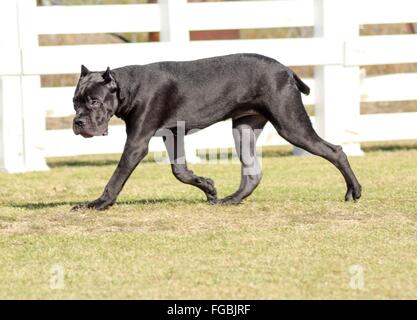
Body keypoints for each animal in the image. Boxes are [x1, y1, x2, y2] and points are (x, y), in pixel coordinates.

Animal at [71, 53, 360, 210]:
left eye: (94, 101)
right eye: (75, 102)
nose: (78, 122)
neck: (127, 88)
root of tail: (287, 71)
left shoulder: (137, 142)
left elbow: (117, 177)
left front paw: (99, 203)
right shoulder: (172, 134)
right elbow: (179, 171)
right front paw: (208, 187)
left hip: (290, 125)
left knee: (336, 151)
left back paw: (354, 191)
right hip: (244, 128)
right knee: (252, 174)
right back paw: (230, 200)